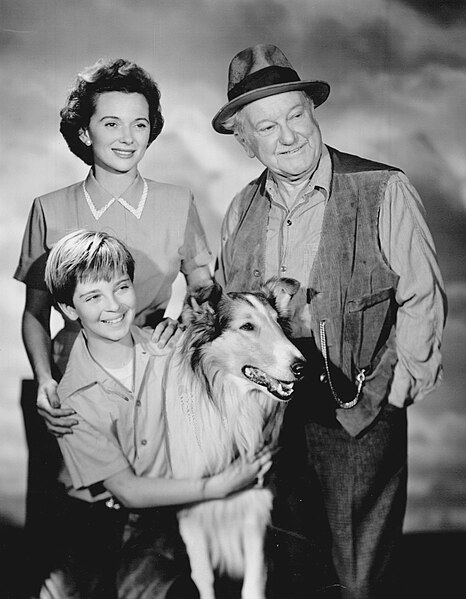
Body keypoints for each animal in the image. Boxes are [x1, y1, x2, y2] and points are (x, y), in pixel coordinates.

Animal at [165, 278, 306, 599]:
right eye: (247, 327)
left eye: (278, 322)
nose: (301, 367)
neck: (234, 407)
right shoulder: (193, 516)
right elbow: (203, 579)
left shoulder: (256, 511)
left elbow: (253, 585)